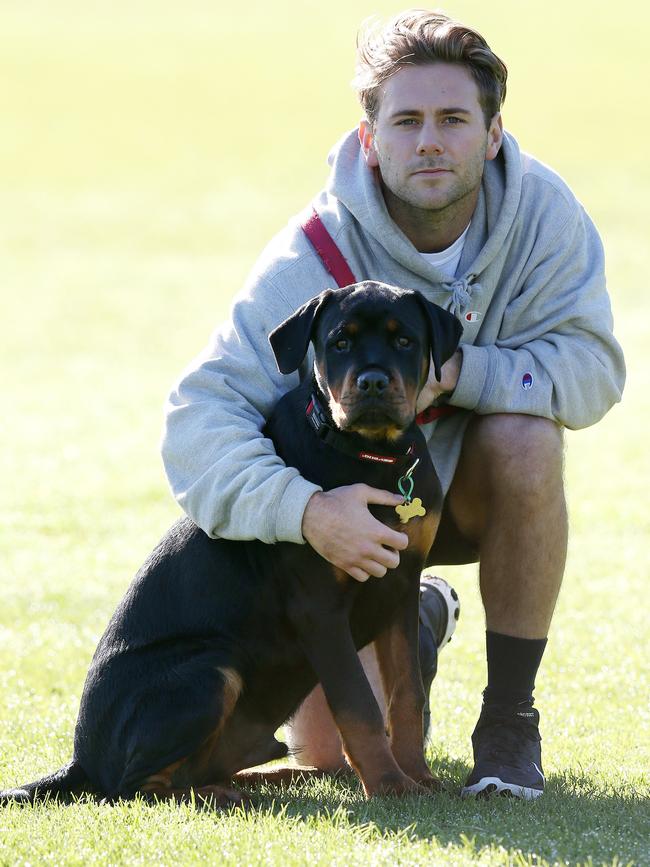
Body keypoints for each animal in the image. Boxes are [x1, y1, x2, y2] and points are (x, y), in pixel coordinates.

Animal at [0, 282, 458, 812]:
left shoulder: (400, 585)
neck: (374, 456)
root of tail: (82, 761)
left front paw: (418, 777)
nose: (373, 383)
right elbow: (358, 704)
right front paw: (389, 786)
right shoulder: (319, 605)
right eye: (339, 342)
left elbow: (407, 693)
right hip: (209, 671)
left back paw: (274, 780)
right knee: (133, 789)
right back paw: (228, 797)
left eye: (405, 340)